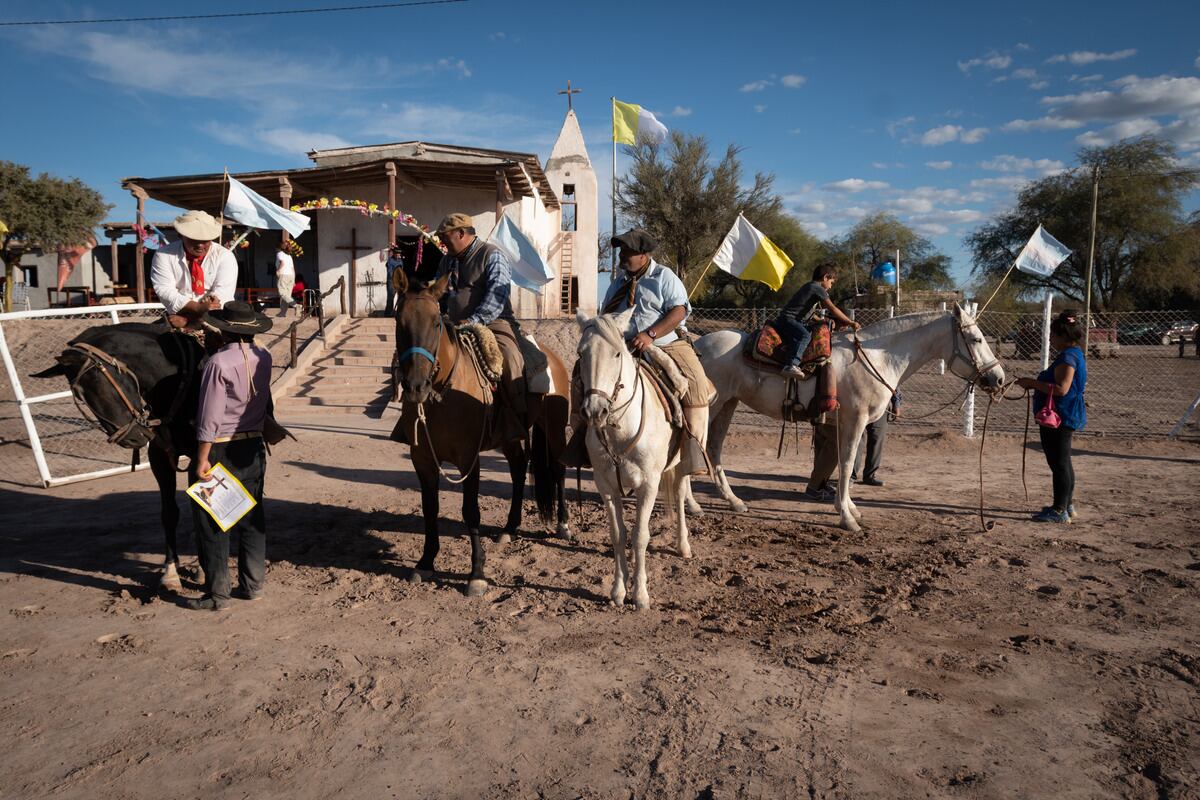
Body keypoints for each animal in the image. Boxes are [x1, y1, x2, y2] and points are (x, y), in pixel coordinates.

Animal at [386, 272, 568, 597]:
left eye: (436, 322)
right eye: (399, 321)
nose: (416, 386)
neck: (442, 395)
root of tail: (553, 359)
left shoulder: (469, 459)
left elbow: (471, 512)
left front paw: (477, 574)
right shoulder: (423, 460)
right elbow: (429, 509)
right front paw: (426, 561)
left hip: (554, 428)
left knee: (558, 469)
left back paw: (563, 524)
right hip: (510, 438)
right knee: (518, 469)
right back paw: (509, 528)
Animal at [573, 309, 691, 609]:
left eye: (617, 353)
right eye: (581, 353)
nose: (595, 411)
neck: (620, 427)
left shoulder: (648, 484)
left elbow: (640, 536)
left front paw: (640, 595)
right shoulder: (605, 485)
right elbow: (618, 535)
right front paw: (618, 591)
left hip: (684, 459)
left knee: (681, 493)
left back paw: (683, 545)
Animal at [686, 307, 1003, 532]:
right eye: (976, 339)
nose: (998, 378)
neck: (878, 357)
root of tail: (697, 344)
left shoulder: (844, 424)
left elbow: (843, 462)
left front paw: (849, 508)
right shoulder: (855, 419)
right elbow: (849, 462)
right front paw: (847, 519)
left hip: (728, 405)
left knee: (713, 449)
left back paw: (734, 502)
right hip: (709, 408)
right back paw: (693, 506)